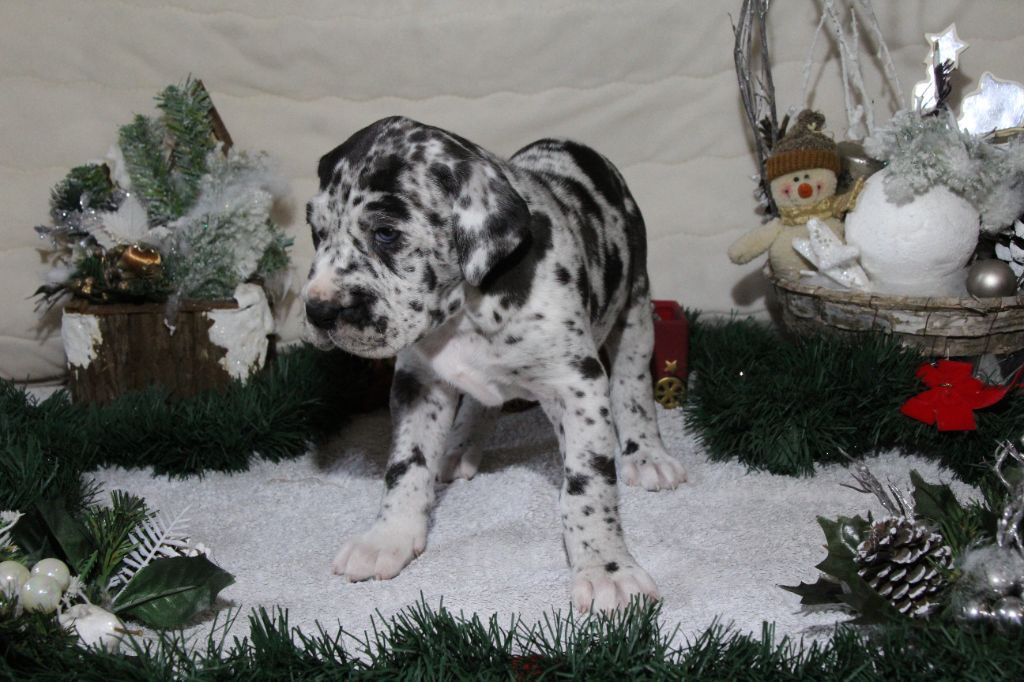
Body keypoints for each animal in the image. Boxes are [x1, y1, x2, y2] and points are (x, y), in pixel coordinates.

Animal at [302, 116, 686, 612]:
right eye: (316, 232)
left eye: (386, 233)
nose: (318, 311)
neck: (468, 306)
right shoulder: (417, 381)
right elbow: (405, 466)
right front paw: (388, 536)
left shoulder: (578, 385)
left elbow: (588, 484)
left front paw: (606, 566)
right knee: (481, 402)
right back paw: (460, 445)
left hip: (636, 309)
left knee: (634, 387)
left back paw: (648, 453)